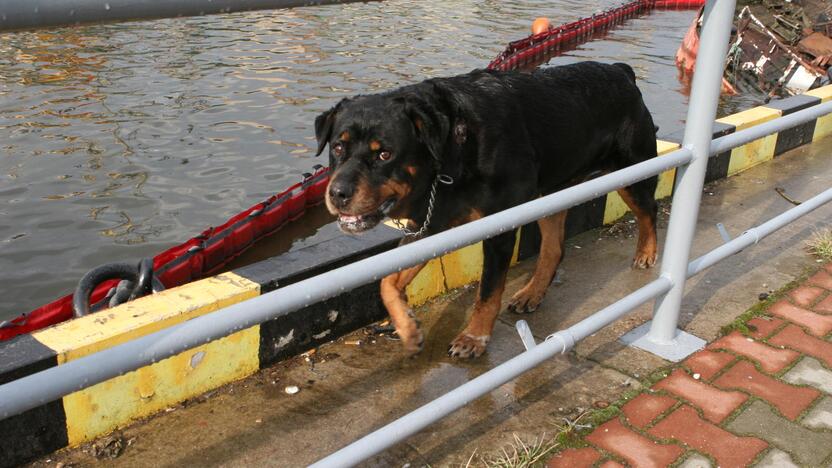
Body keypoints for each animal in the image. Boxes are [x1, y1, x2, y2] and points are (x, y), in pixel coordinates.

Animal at [316, 60, 660, 356]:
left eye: (385, 154)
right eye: (338, 147)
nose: (338, 193)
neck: (453, 147)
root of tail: (621, 71)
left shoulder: (498, 230)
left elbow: (488, 292)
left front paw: (474, 338)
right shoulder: (430, 223)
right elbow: (387, 281)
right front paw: (408, 329)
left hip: (631, 170)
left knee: (648, 211)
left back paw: (647, 253)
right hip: (549, 192)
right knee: (554, 248)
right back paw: (532, 293)